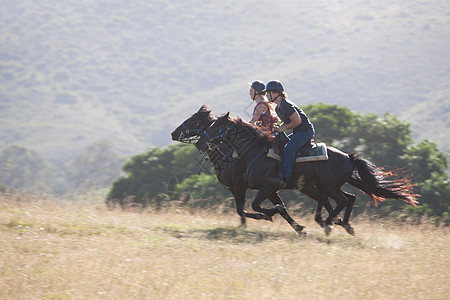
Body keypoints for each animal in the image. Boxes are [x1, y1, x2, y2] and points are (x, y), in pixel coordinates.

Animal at [170, 105, 306, 234]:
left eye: (195, 121)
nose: (173, 133)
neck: (227, 156)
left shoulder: (240, 186)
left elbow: (241, 210)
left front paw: (263, 216)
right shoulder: (235, 188)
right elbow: (241, 211)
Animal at [195, 112, 420, 234]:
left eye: (217, 126)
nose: (199, 143)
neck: (255, 151)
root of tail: (348, 157)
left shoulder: (267, 185)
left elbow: (255, 206)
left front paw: (269, 215)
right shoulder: (270, 188)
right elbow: (274, 207)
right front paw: (293, 224)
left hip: (328, 186)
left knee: (342, 200)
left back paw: (330, 224)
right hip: (323, 187)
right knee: (348, 198)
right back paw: (343, 224)